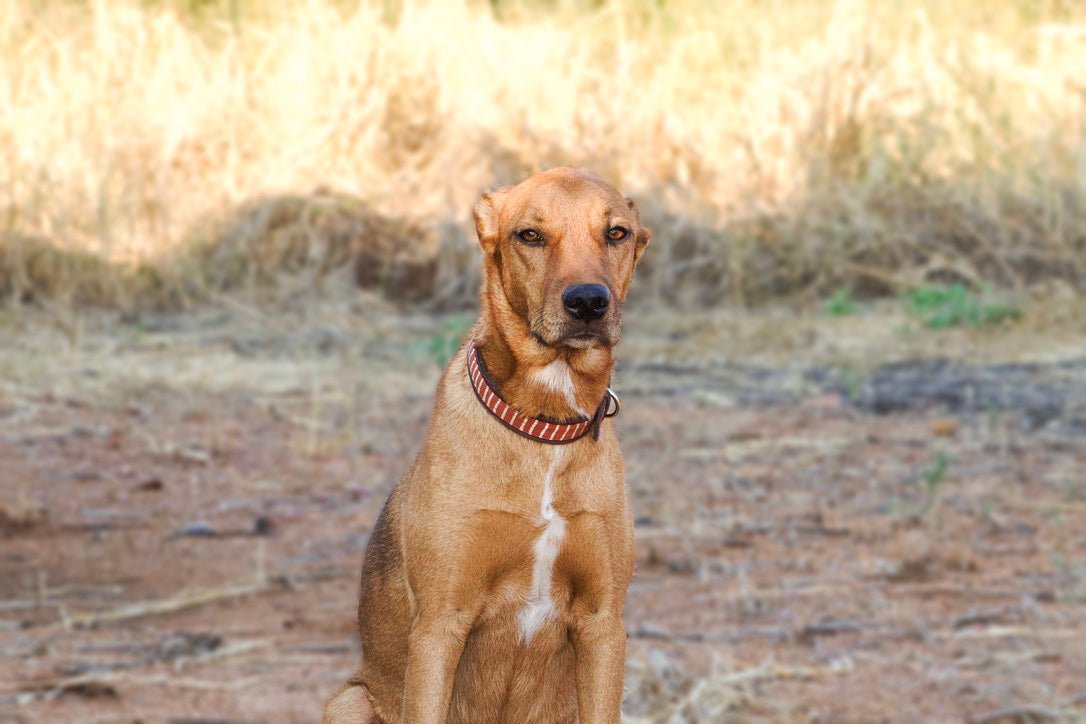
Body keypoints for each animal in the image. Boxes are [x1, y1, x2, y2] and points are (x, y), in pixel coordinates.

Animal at [319, 167, 642, 720]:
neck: (543, 427)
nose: (587, 302)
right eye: (529, 235)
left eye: (616, 232)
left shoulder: (603, 626)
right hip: (350, 700)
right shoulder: (440, 626)